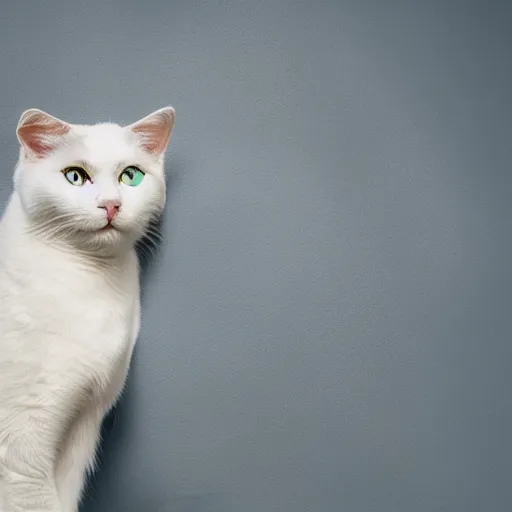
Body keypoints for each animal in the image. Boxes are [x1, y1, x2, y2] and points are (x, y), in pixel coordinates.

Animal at [0, 106, 174, 510]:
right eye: (75, 176)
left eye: (131, 175)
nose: (111, 204)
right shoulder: (19, 446)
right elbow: (34, 498)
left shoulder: (84, 422)